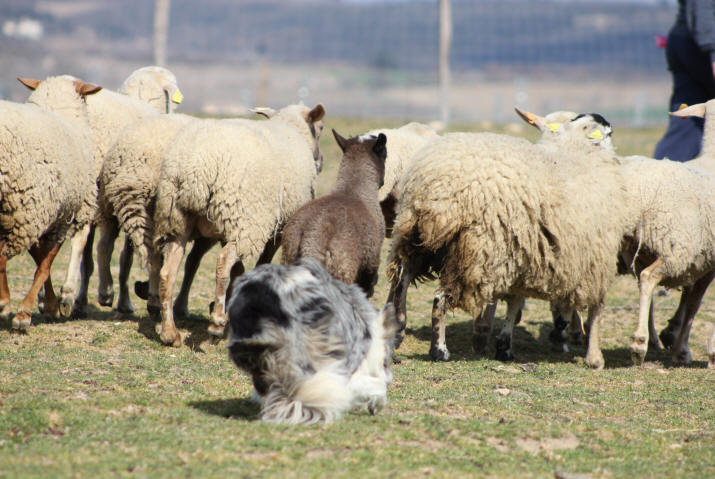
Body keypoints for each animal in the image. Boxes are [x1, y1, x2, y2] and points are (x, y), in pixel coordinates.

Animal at [0, 76, 100, 330]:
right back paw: (4, 304)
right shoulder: (50, 216)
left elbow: (41, 262)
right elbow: (43, 264)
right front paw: (28, 311)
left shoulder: (44, 215)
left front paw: (50, 305)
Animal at [155, 103, 328, 346]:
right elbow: (262, 261)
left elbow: (239, 269)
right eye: (320, 128)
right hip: (245, 218)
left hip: (178, 219)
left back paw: (170, 333)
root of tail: (194, 167)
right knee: (222, 262)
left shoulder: (229, 226)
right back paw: (216, 322)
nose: (320, 161)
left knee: (168, 272)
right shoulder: (279, 225)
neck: (291, 128)